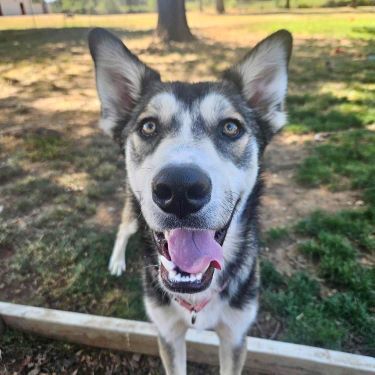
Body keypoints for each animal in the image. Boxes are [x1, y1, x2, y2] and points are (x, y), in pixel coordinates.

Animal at [89, 28, 294, 375]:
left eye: (230, 127)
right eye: (148, 126)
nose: (180, 188)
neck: (197, 296)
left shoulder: (236, 336)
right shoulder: (167, 334)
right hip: (132, 207)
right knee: (123, 228)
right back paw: (116, 261)